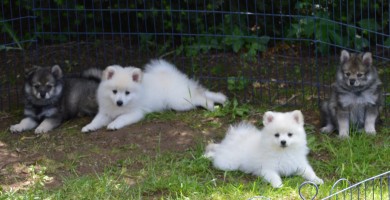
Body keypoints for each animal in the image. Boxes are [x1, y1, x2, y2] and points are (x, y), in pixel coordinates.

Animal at [83, 58, 229, 132]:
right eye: (114, 91)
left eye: (127, 93)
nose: (119, 102)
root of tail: (172, 74)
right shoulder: (105, 112)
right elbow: (96, 120)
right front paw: (88, 127)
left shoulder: (135, 113)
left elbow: (121, 118)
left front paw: (114, 125)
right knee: (201, 91)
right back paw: (221, 99)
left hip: (179, 101)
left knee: (199, 97)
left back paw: (210, 105)